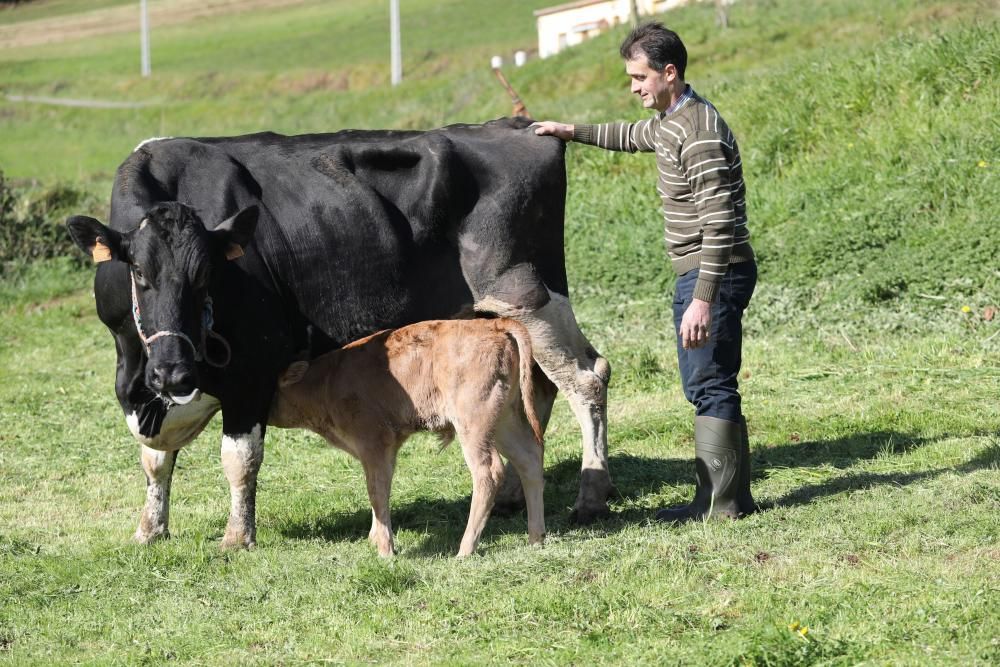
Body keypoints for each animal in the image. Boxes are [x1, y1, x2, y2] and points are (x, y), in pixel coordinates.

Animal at [270, 318, 544, 560]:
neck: (326, 381)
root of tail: (493, 324)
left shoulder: (374, 444)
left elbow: (376, 490)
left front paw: (385, 551)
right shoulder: (386, 448)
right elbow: (381, 487)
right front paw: (375, 539)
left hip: (474, 425)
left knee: (488, 472)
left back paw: (465, 550)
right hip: (502, 421)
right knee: (529, 458)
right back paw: (536, 539)